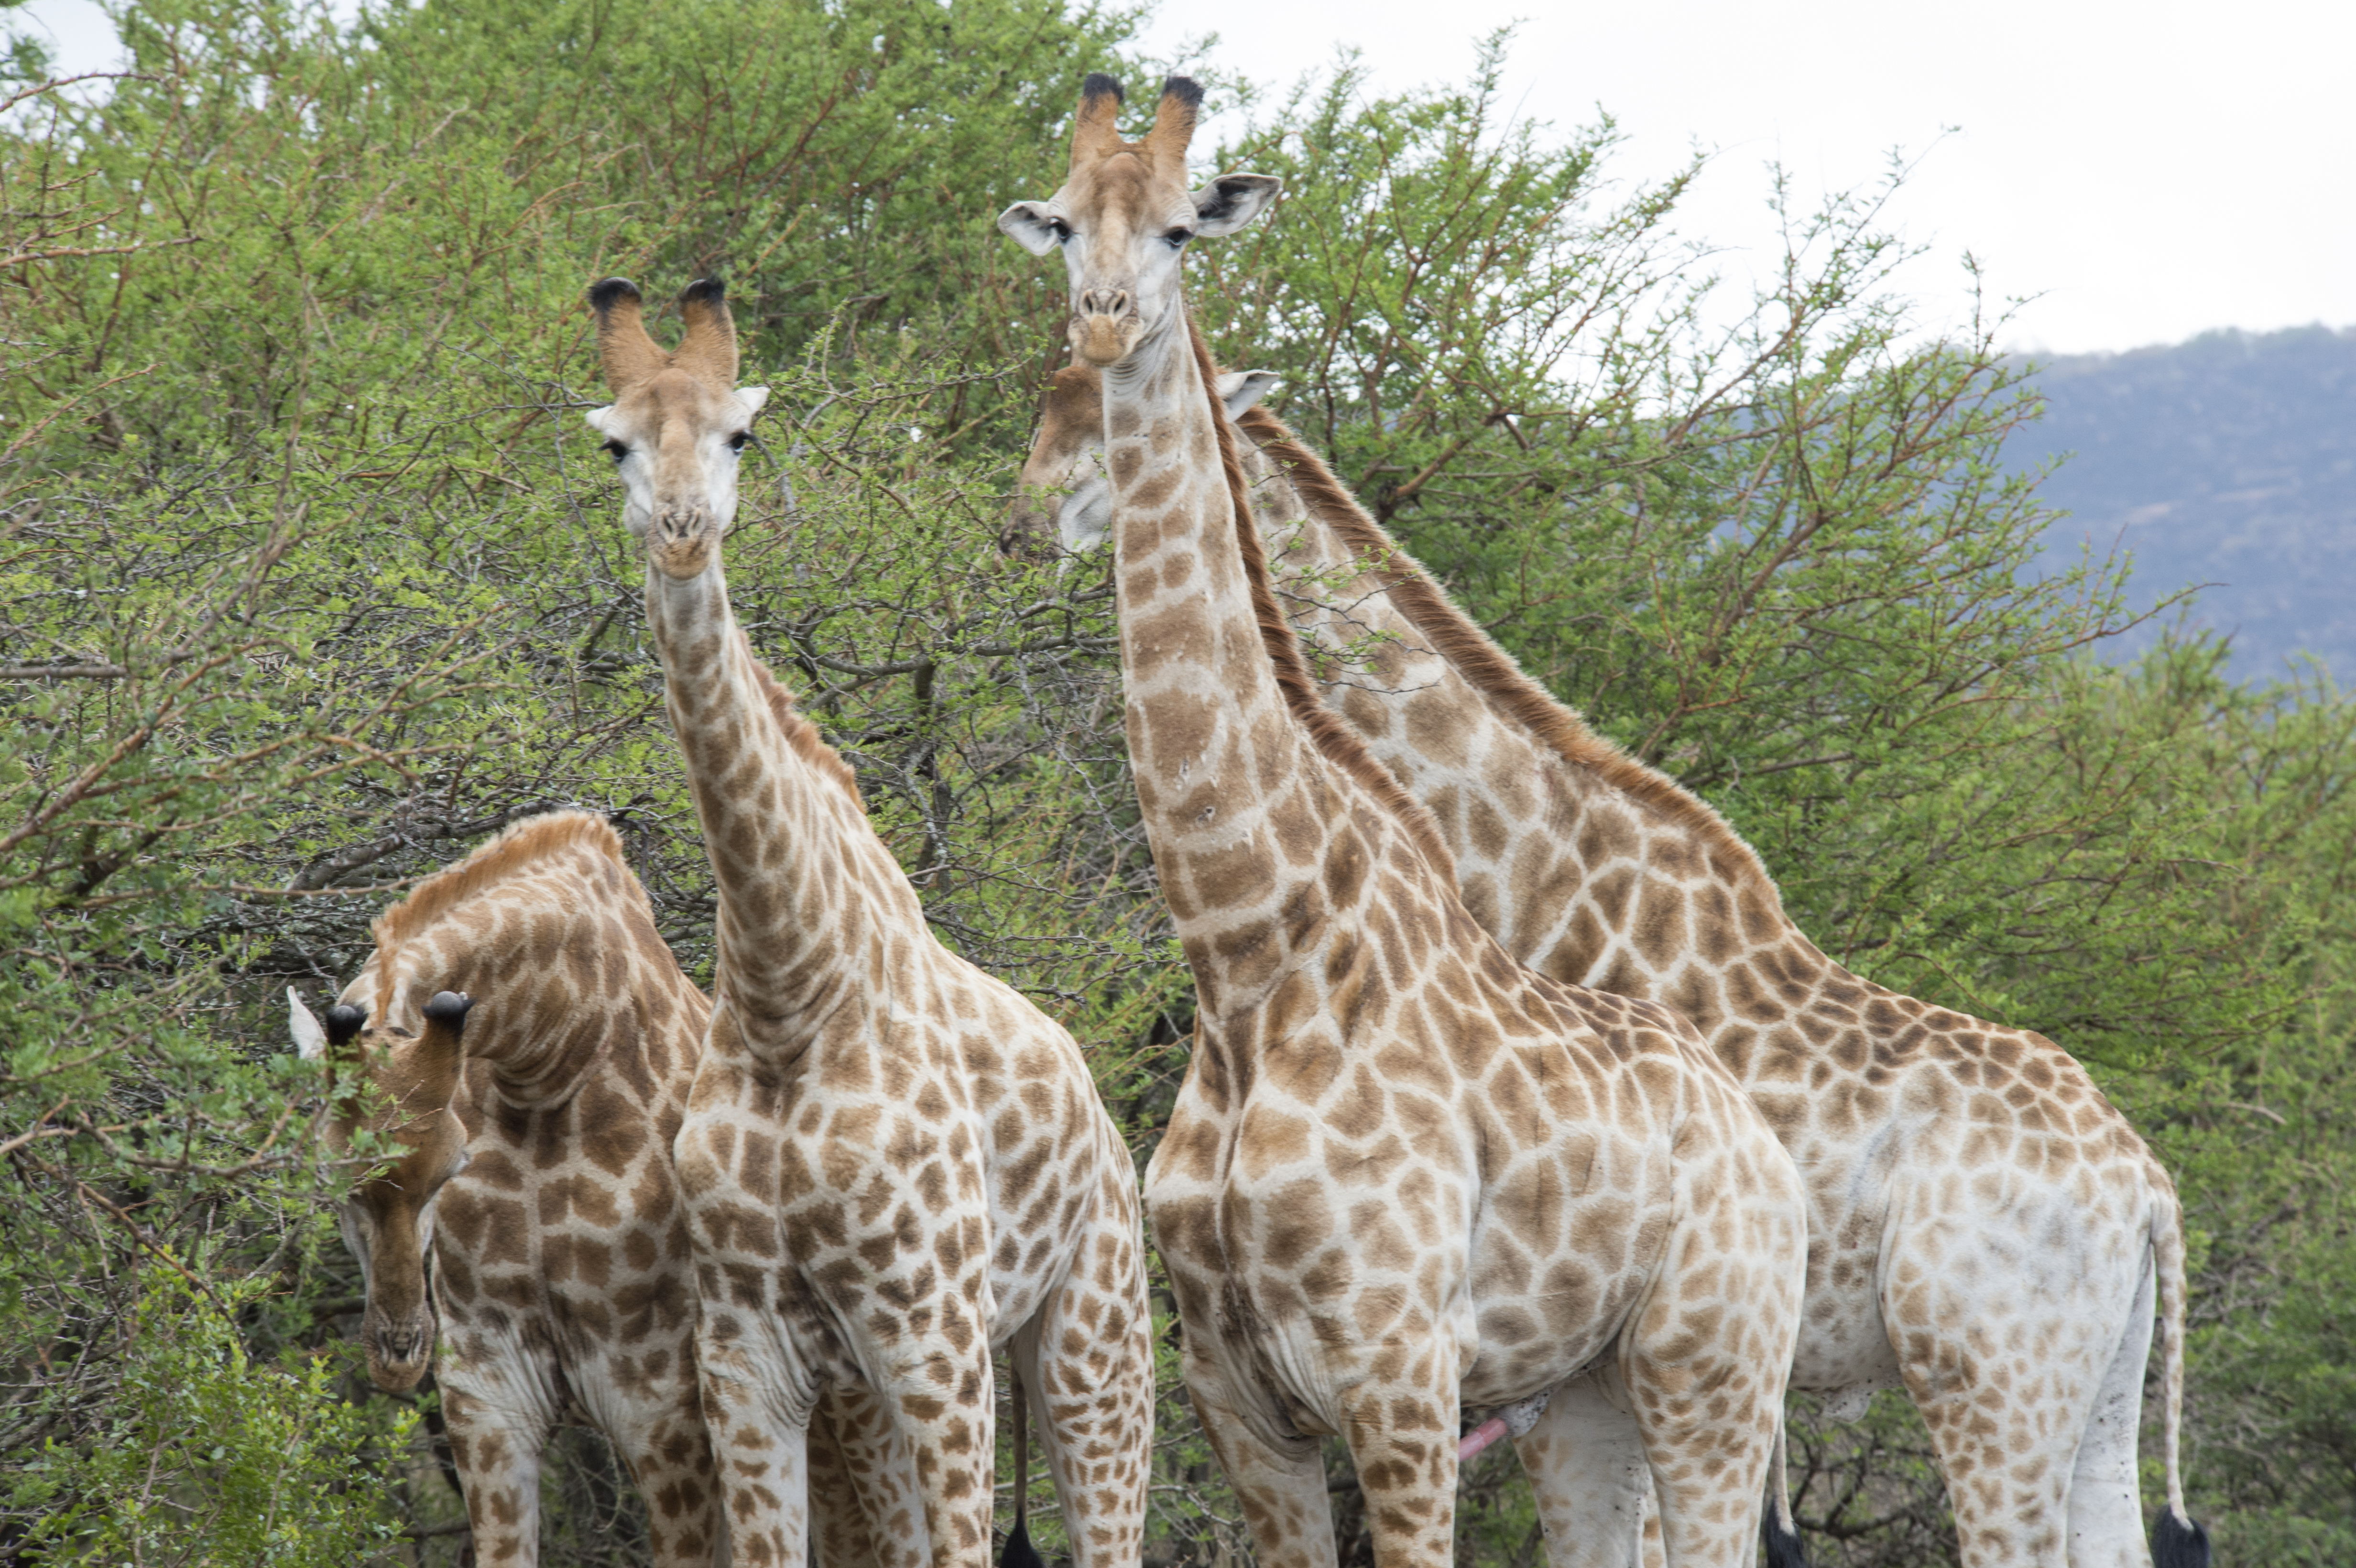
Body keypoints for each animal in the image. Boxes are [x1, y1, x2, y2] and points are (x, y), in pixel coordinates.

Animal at [579, 272, 1149, 1563]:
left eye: (741, 434)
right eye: (615, 444)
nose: (682, 533)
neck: (789, 989)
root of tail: (1106, 1121)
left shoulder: (930, 1335)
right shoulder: (749, 1355)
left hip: (1091, 1341)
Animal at [989, 79, 1800, 1563]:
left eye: (1183, 228)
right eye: (1064, 225)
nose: (1108, 324)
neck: (1247, 953)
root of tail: (1760, 1136)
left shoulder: (1400, 1373)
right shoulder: (1236, 1397)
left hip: (1715, 1367)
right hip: (1587, 1397)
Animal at [1008, 353, 2205, 1563]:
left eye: (1099, 422)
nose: (1023, 521)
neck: (1524, 871)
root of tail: (2148, 1185)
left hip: (1986, 1370)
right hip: (2094, 1383)